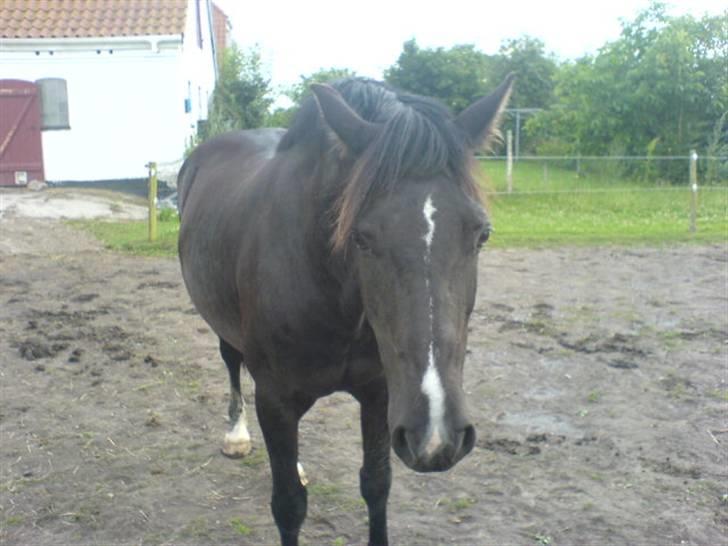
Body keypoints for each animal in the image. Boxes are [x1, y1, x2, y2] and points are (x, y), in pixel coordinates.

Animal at [179, 76, 516, 544]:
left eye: (481, 234)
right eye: (361, 237)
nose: (438, 434)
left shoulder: (380, 394)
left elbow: (376, 485)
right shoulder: (276, 400)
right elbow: (289, 505)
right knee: (231, 361)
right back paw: (236, 435)